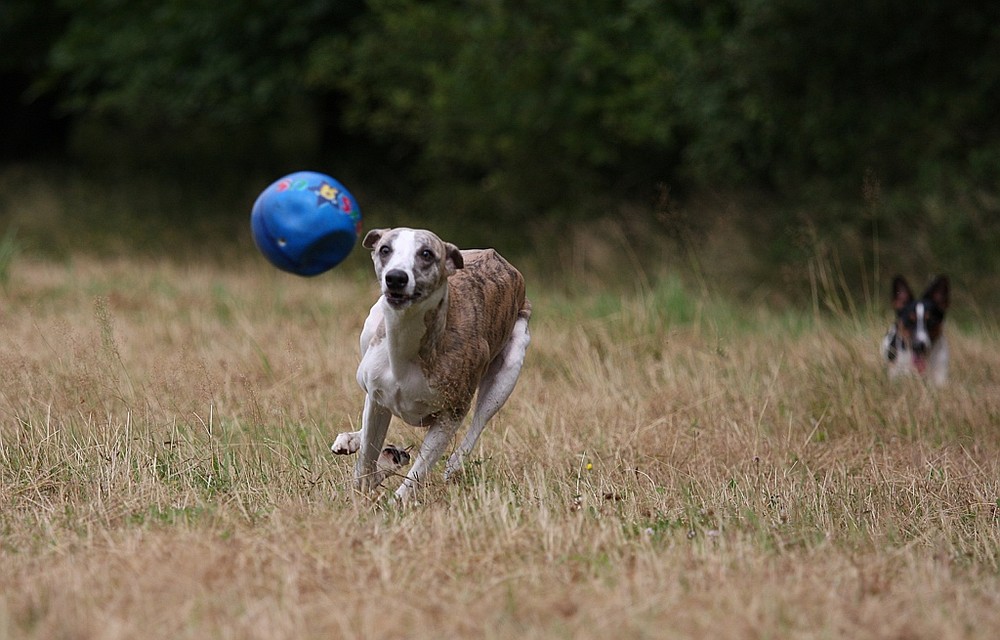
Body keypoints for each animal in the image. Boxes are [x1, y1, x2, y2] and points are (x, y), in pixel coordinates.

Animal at [330, 229, 536, 500]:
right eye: (385, 249)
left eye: (426, 253)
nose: (395, 278)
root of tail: (499, 259)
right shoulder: (377, 399)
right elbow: (367, 456)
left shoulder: (451, 415)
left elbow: (418, 471)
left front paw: (395, 502)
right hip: (372, 325)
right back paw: (355, 441)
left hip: (507, 372)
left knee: (479, 421)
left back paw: (453, 464)